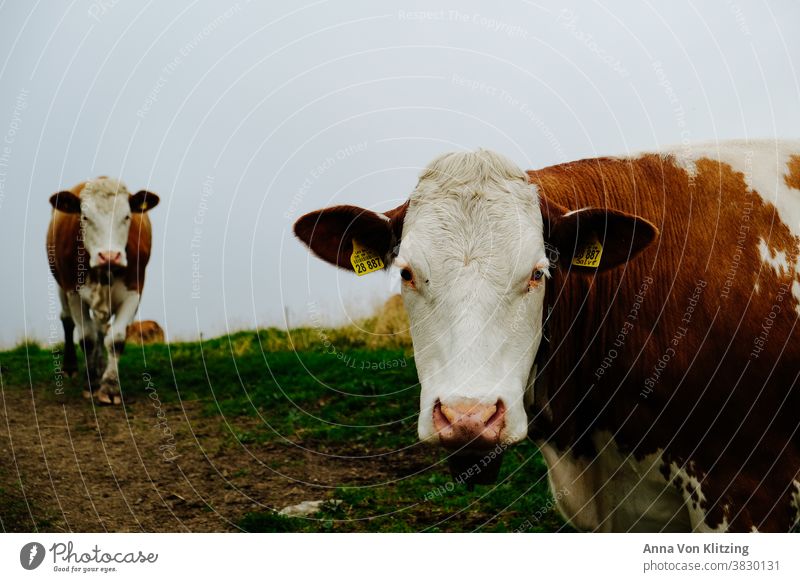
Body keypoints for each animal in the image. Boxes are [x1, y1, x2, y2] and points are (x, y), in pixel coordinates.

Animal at [47, 178, 161, 406]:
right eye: (84, 217)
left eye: (127, 216)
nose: (110, 255)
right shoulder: (73, 291)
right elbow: (87, 338)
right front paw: (90, 383)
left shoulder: (134, 290)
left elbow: (115, 339)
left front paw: (109, 386)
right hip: (61, 285)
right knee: (67, 320)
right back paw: (71, 367)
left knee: (101, 329)